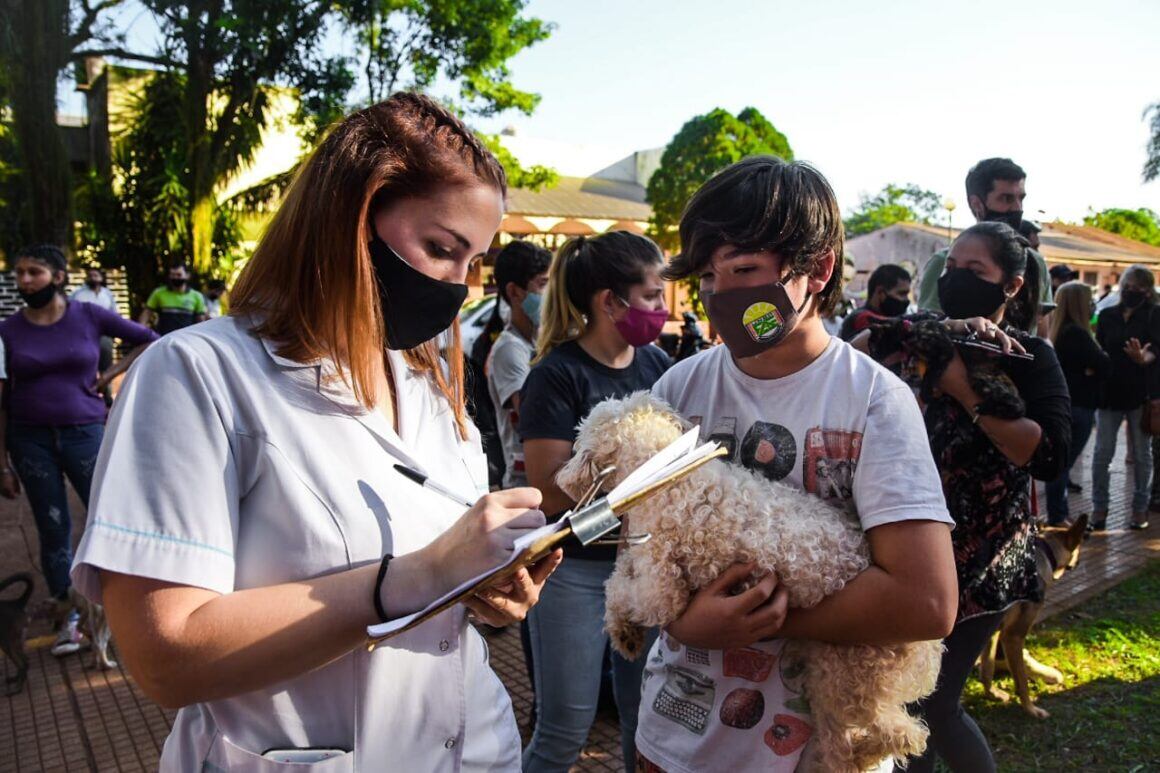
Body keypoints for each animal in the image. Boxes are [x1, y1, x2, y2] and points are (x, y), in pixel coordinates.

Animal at [979, 510, 1085, 714]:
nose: (1079, 561)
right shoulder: (1012, 636)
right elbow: (1021, 680)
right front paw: (1030, 709)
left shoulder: (993, 632)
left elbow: (987, 666)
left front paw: (991, 694)